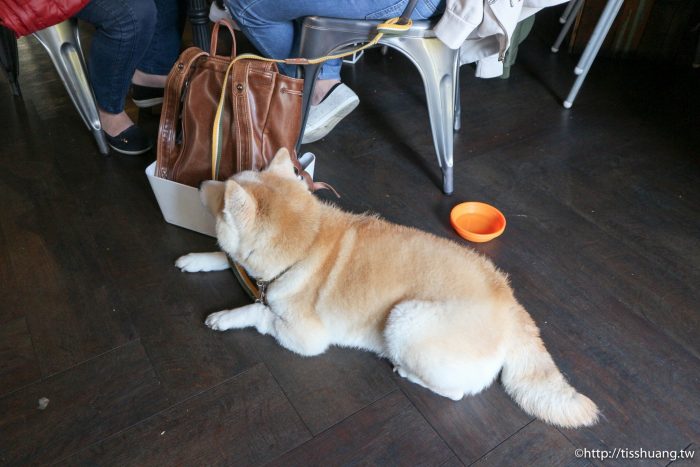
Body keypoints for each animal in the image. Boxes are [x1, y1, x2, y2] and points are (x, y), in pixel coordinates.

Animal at [178, 149, 600, 428]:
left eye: (220, 194)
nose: (198, 181)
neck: (303, 246)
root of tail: (511, 303)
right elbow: (228, 258)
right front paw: (198, 259)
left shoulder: (305, 338)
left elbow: (259, 311)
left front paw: (226, 316)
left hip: (406, 319)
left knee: (455, 392)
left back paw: (406, 372)